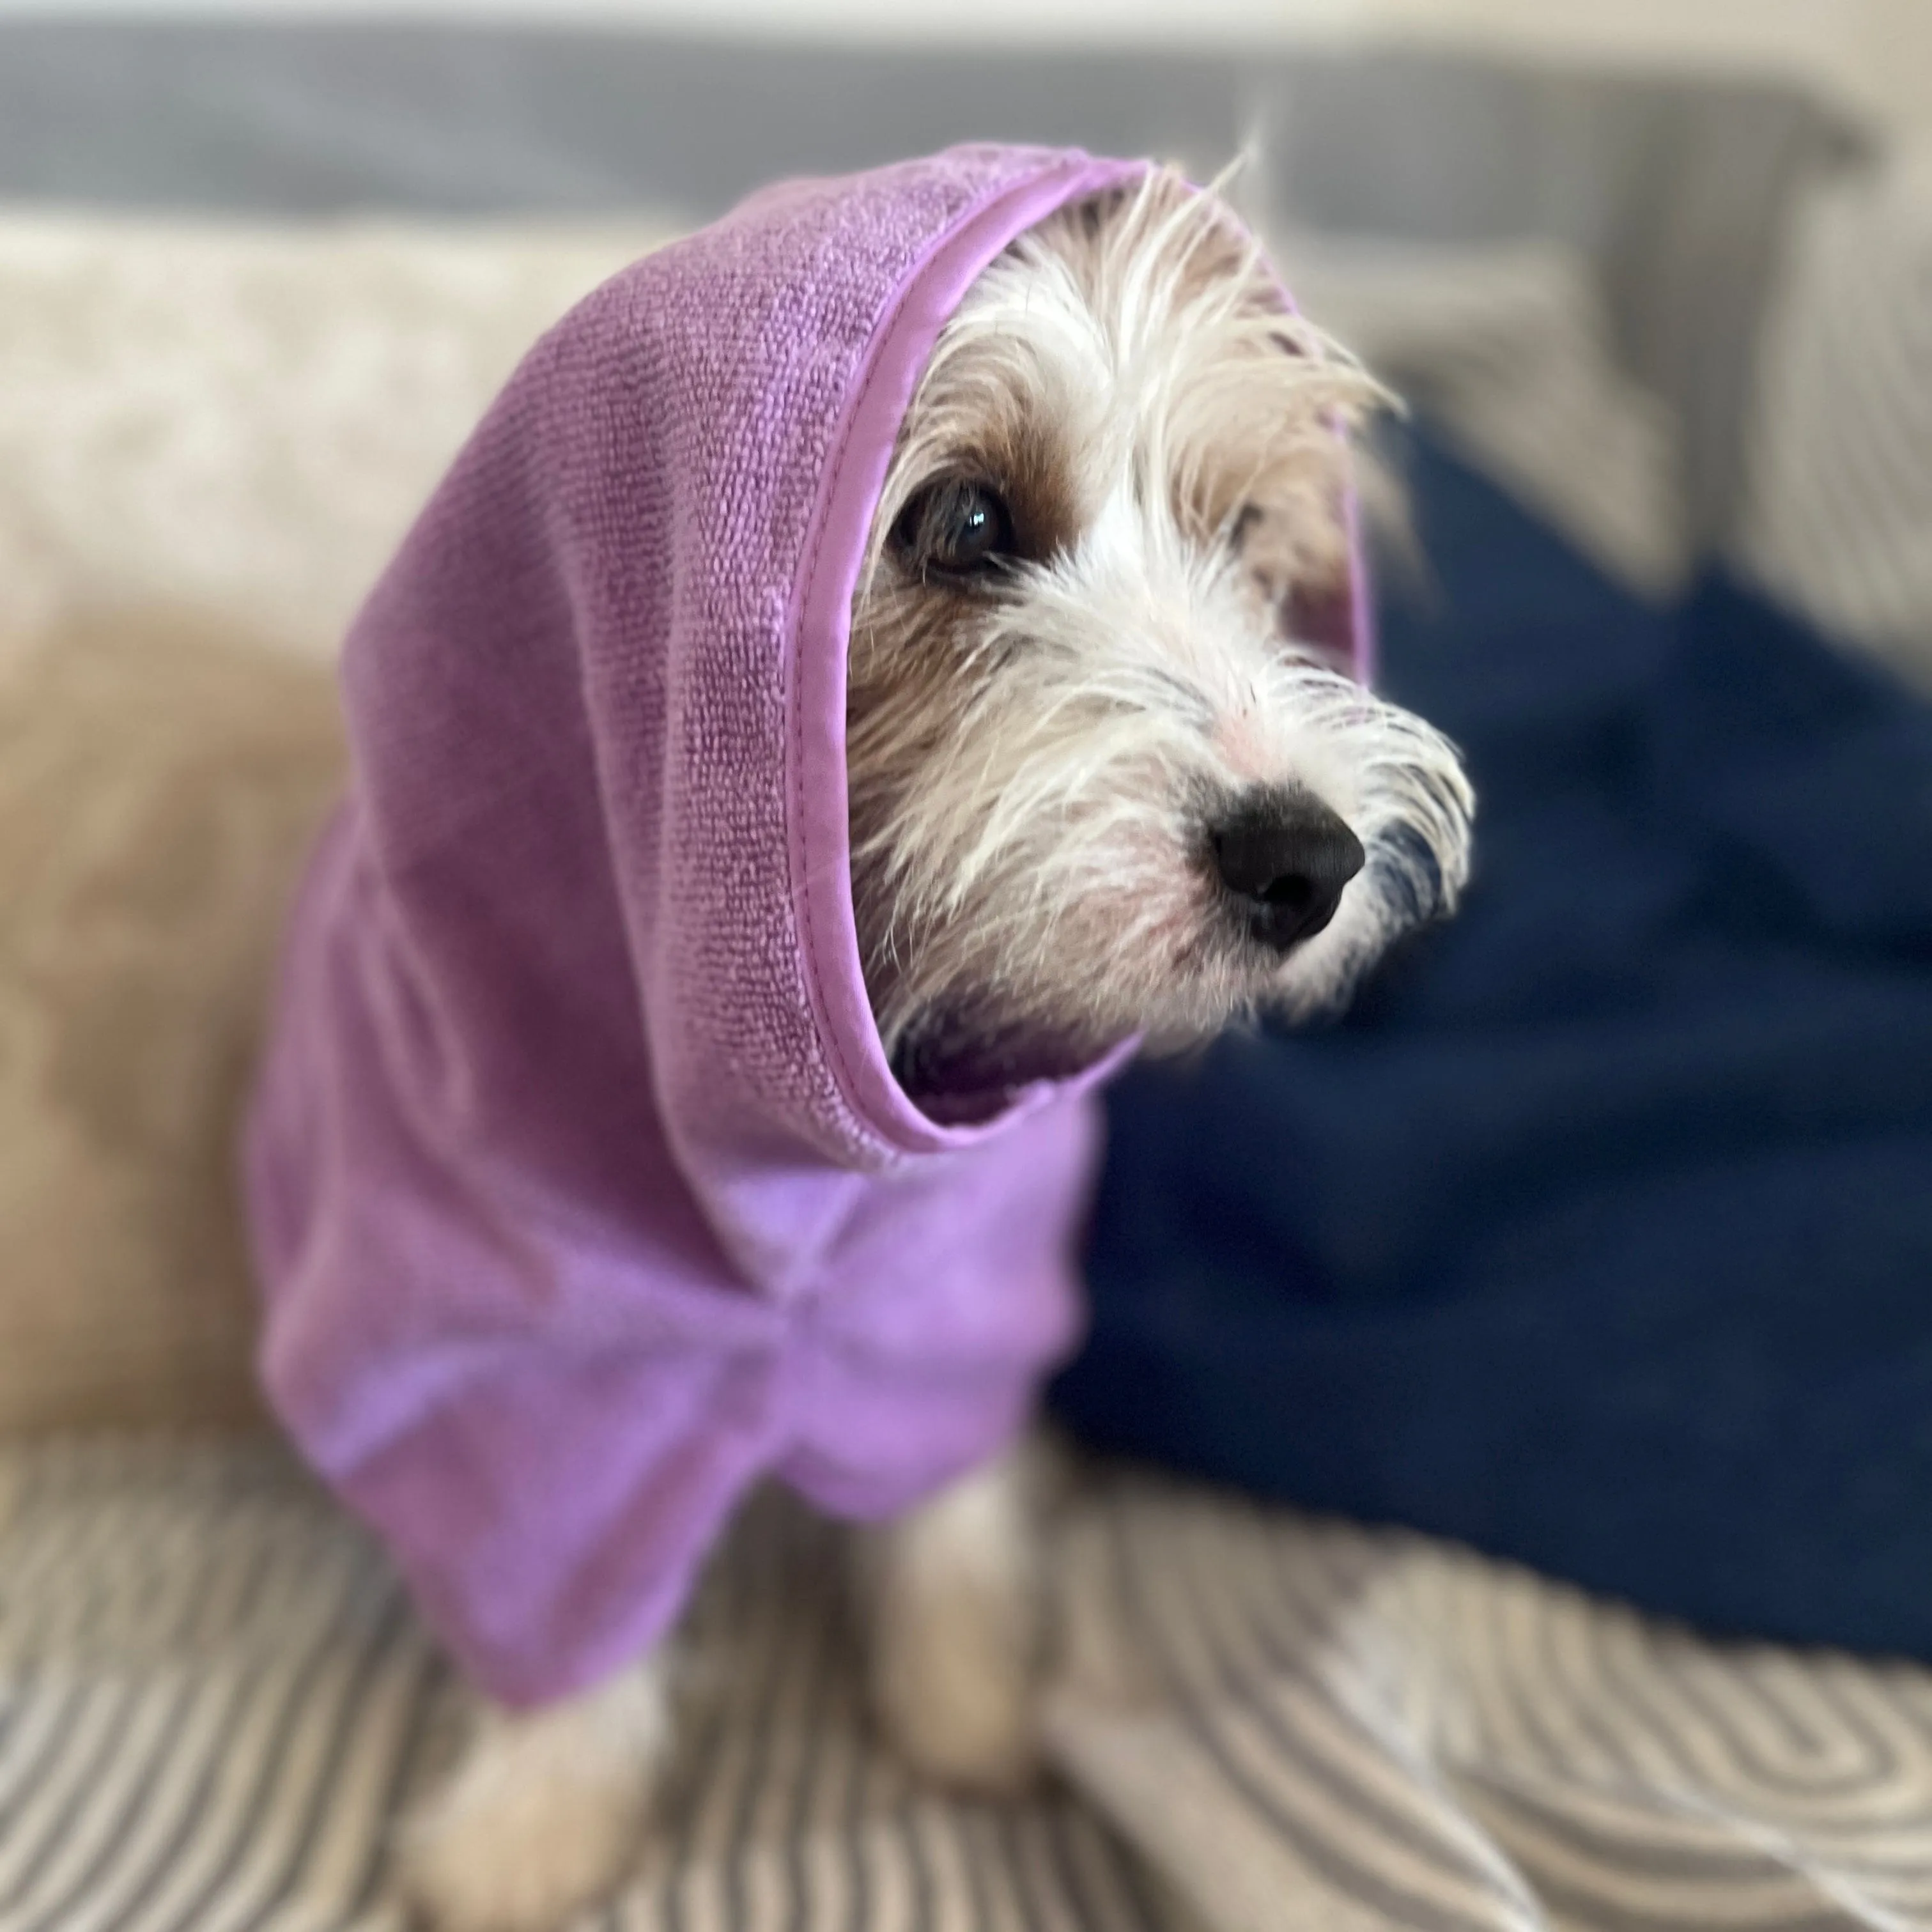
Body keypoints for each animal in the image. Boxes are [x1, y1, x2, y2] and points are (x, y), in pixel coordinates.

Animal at [392, 170, 1468, 1932]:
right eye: (963, 522)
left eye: (1242, 532)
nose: (1304, 858)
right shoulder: (506, 1341)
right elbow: (557, 1573)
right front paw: (532, 1819)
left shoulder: (953, 1290)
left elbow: (948, 1504)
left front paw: (969, 1699)